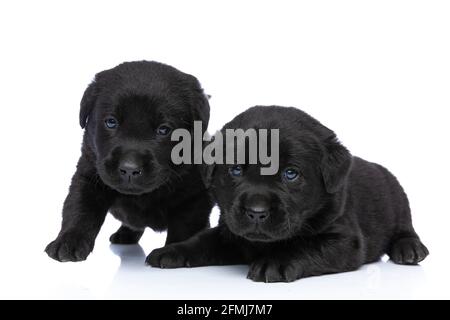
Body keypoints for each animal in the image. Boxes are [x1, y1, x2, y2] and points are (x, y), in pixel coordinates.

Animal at [45, 60, 213, 262]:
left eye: (163, 129)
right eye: (111, 122)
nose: (130, 169)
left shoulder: (194, 197)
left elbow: (184, 227)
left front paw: (173, 253)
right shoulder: (88, 176)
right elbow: (79, 210)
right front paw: (68, 241)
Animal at [148, 105, 428, 282]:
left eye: (290, 174)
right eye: (236, 170)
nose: (256, 212)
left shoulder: (344, 239)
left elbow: (306, 246)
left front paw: (275, 262)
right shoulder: (229, 232)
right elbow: (201, 240)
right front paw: (171, 251)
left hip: (399, 201)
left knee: (406, 229)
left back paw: (410, 249)